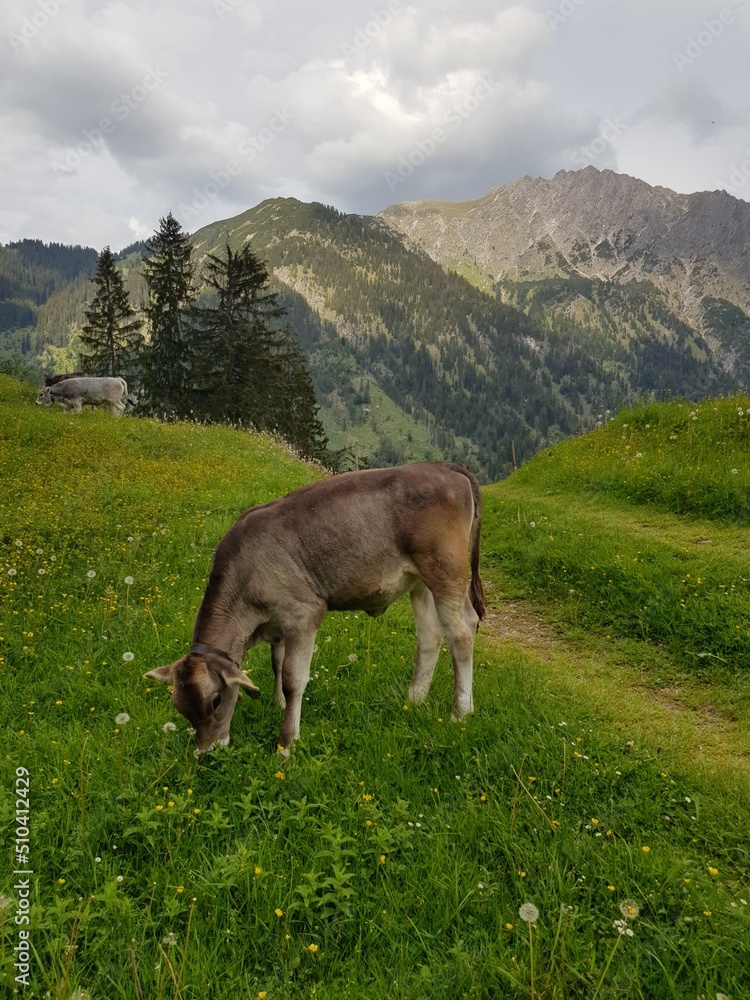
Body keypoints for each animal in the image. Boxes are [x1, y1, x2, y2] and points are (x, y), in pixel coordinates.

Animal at [146, 462, 486, 753]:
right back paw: (414, 700)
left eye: (216, 701)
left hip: (445, 570)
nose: (206, 751)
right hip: (419, 580)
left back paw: (460, 712)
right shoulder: (278, 624)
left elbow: (293, 678)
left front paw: (286, 743)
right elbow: (277, 664)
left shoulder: (302, 613)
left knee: (461, 630)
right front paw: (278, 705)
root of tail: (445, 467)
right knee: (430, 635)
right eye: (179, 707)